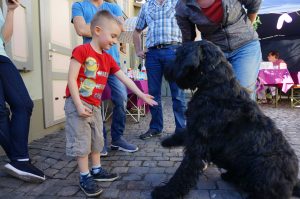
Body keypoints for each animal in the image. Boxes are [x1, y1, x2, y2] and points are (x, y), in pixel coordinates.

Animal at [152, 40, 300, 199]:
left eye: (180, 55)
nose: (166, 69)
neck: (214, 85)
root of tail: (293, 182)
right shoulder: (193, 129)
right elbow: (182, 133)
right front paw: (168, 141)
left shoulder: (198, 142)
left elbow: (184, 171)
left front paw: (166, 191)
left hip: (264, 169)